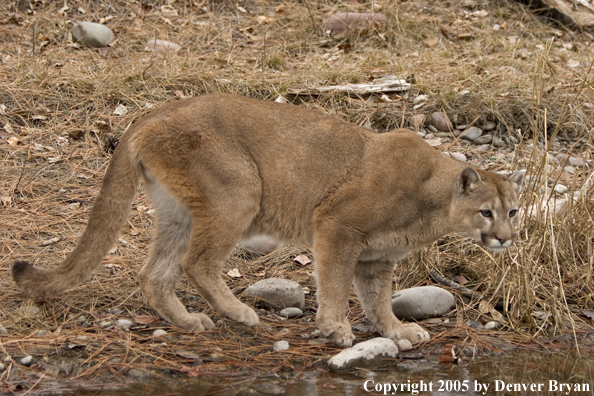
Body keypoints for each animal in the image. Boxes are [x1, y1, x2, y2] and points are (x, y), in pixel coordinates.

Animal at [11, 93, 524, 346]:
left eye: (514, 211)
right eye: (486, 212)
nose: (504, 238)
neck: (431, 200)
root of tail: (152, 113)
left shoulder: (376, 260)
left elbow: (378, 301)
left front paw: (396, 332)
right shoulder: (336, 225)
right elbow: (334, 285)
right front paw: (335, 328)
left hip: (179, 212)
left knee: (154, 273)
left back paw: (188, 322)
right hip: (239, 191)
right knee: (197, 263)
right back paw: (239, 313)